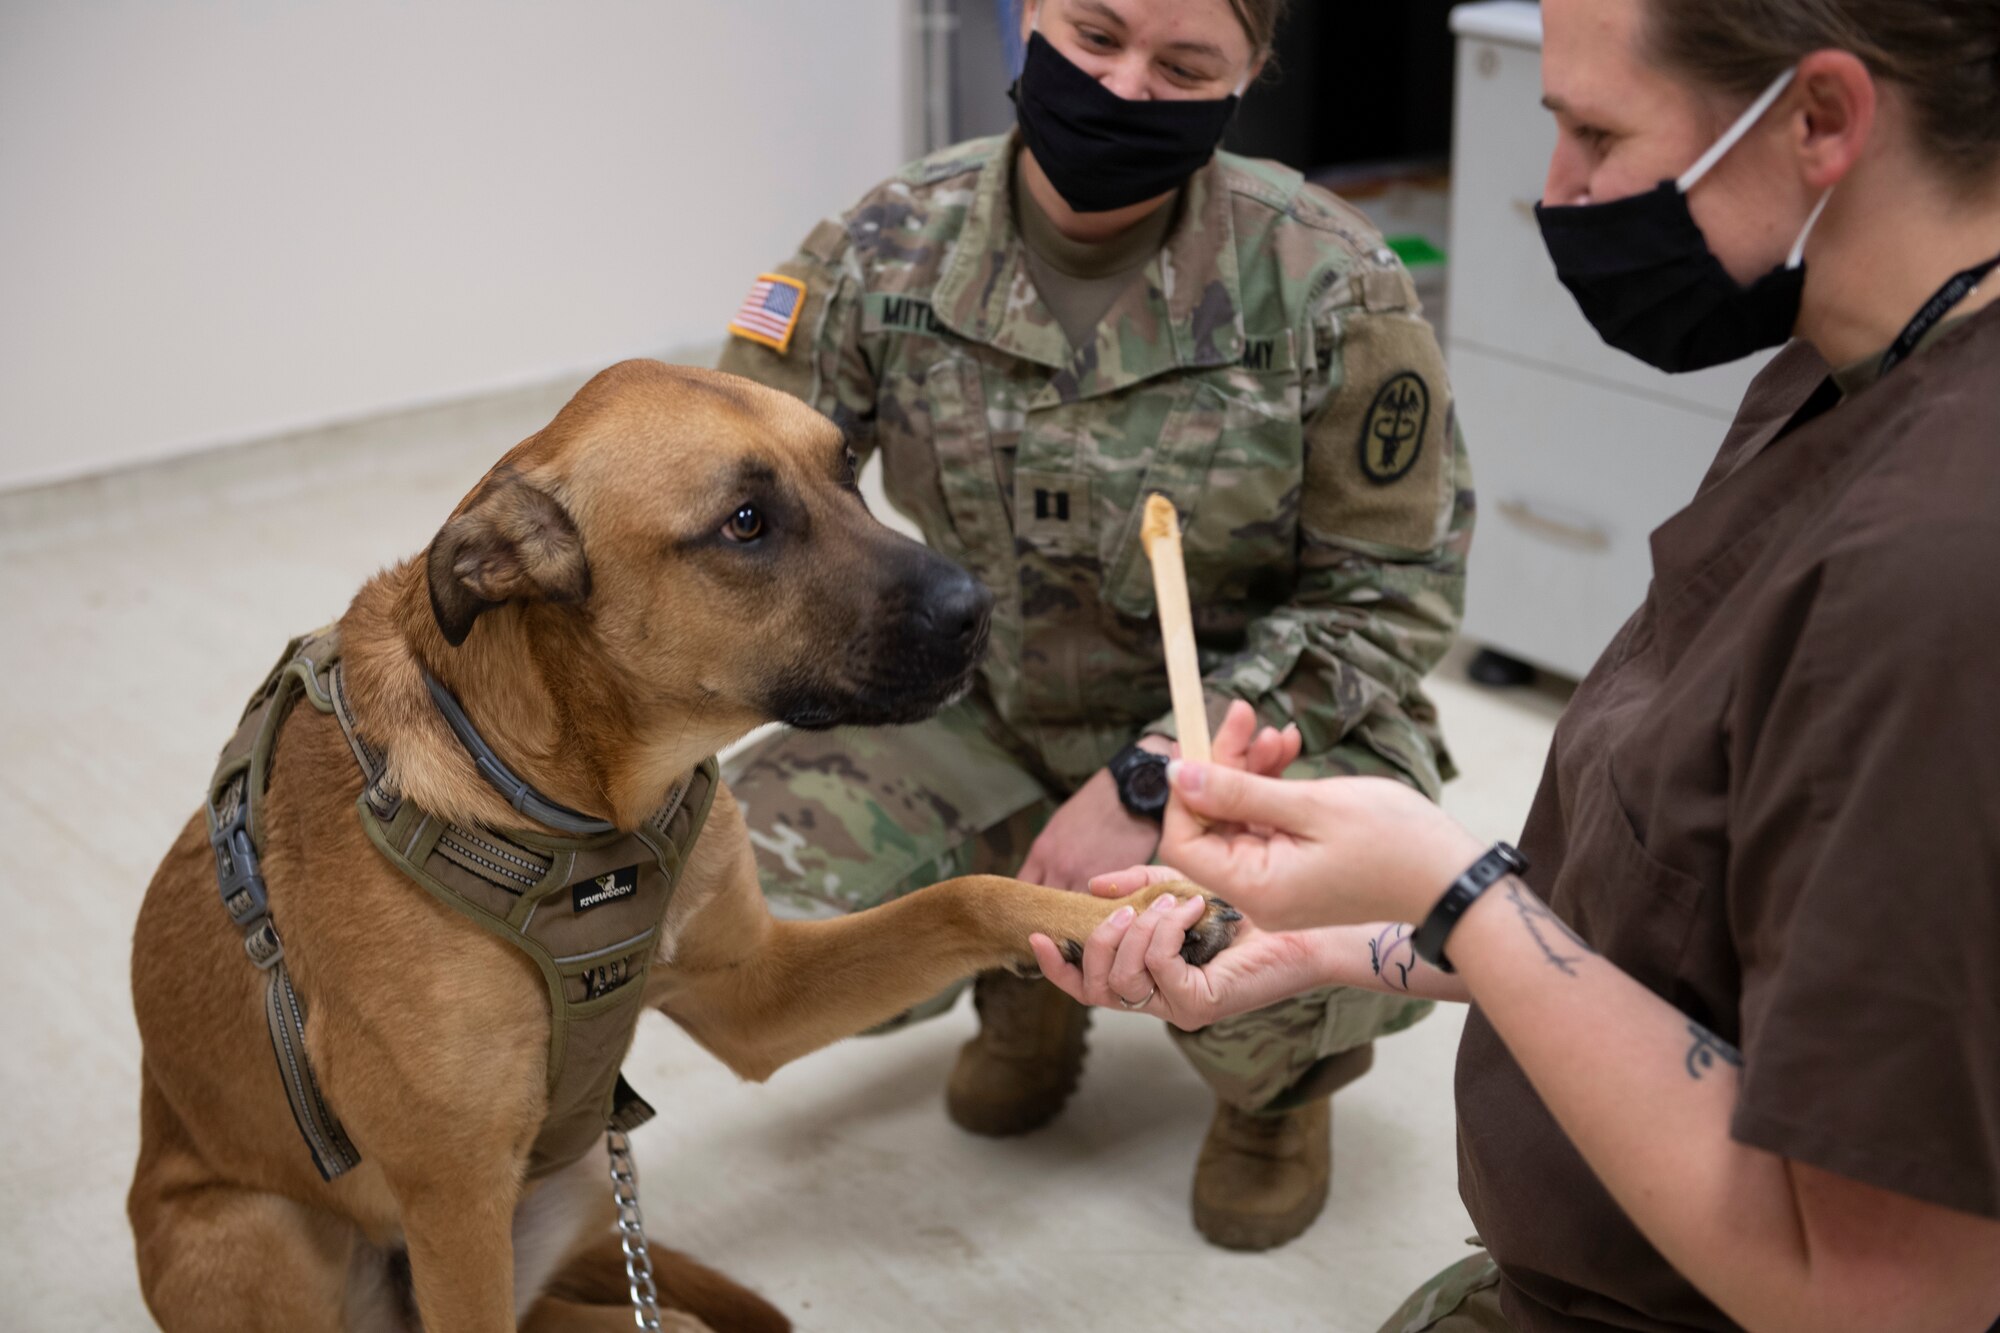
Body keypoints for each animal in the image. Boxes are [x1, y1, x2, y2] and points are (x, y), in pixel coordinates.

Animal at [129, 358, 1232, 1320]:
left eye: (846, 465)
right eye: (744, 524)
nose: (979, 612)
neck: (576, 799)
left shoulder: (753, 996)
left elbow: (962, 896)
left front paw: (1120, 914)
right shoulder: (456, 1202)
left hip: (574, 1184)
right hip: (266, 1231)